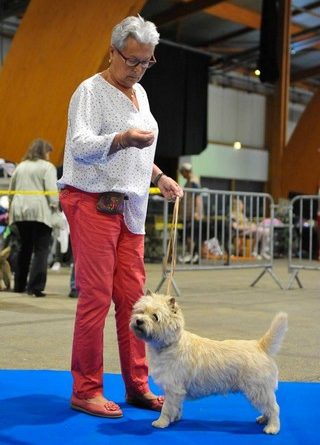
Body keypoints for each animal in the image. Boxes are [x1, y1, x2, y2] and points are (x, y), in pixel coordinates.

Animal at [130, 290, 288, 432]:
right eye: (141, 311)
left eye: (155, 317)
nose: (139, 321)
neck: (170, 344)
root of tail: (260, 346)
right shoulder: (176, 391)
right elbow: (176, 406)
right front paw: (175, 418)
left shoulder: (173, 388)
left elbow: (166, 408)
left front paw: (161, 422)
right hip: (260, 390)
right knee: (269, 407)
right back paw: (263, 419)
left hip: (257, 389)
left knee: (274, 408)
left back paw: (272, 428)